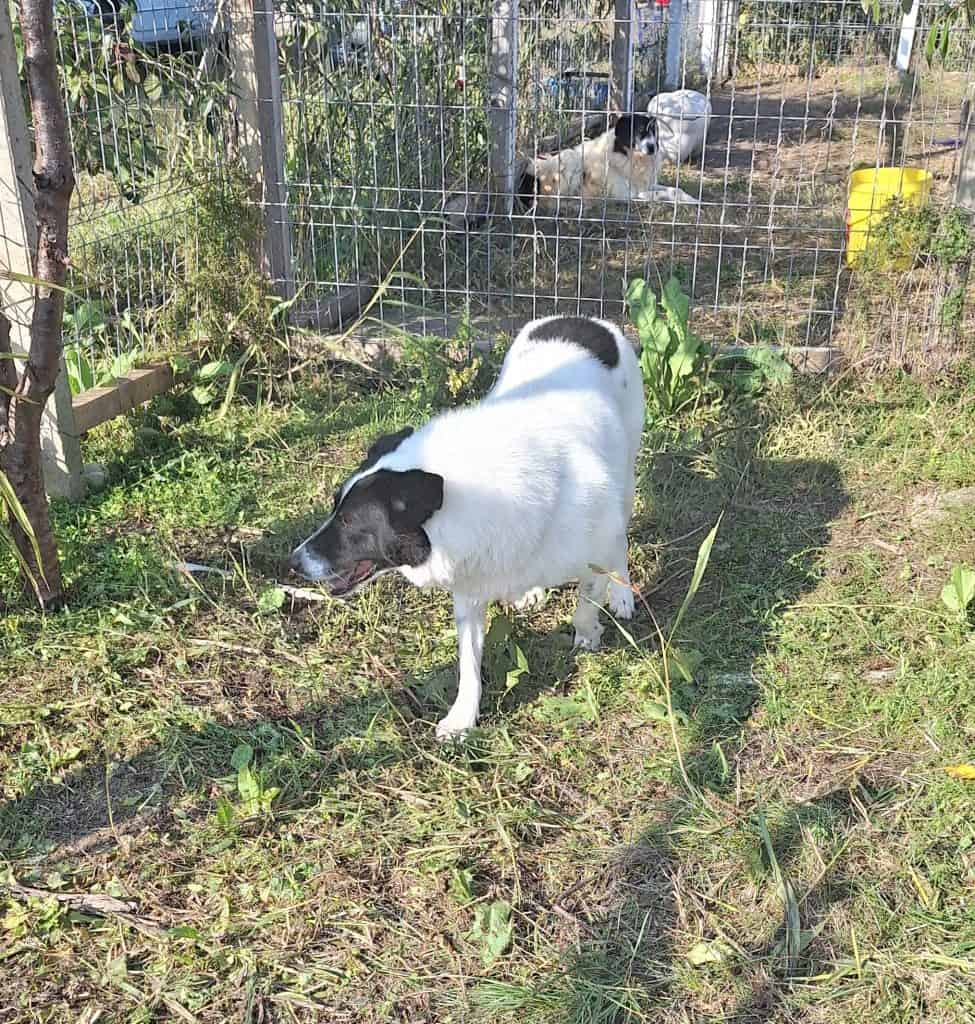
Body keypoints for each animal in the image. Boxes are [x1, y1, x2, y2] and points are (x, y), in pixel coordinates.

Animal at [289, 316, 645, 740]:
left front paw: (590, 632)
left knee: (620, 541)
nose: (293, 562)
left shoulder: (593, 547)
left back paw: (621, 593)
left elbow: (586, 604)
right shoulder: (470, 589)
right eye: (333, 508)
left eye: (348, 521)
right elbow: (468, 665)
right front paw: (463, 718)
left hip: (625, 476)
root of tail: (585, 319)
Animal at [517, 113, 697, 216]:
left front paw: (692, 199)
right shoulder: (628, 195)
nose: (653, 147)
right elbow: (661, 195)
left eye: (654, 132)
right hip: (571, 161)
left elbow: (675, 189)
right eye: (640, 131)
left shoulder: (645, 185)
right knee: (551, 204)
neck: (630, 156)